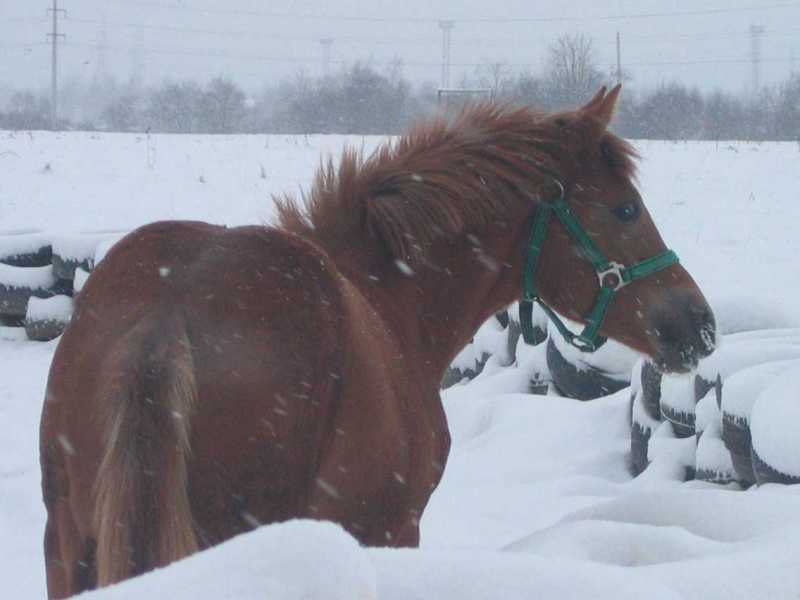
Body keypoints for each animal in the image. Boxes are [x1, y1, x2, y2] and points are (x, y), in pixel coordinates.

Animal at [37, 86, 716, 596]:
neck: (390, 294)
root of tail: (168, 312)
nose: (700, 324)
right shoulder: (394, 528)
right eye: (626, 209)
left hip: (72, 546)